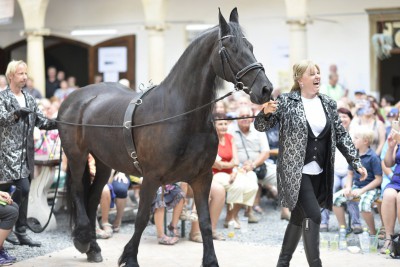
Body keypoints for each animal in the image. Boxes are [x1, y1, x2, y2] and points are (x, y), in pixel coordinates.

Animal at [57, 7, 272, 266]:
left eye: (250, 46)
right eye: (231, 49)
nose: (266, 89)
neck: (181, 116)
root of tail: (76, 97)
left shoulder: (202, 178)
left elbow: (205, 221)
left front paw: (210, 260)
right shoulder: (151, 178)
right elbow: (141, 219)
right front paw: (129, 258)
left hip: (103, 161)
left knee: (93, 196)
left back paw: (93, 248)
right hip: (77, 156)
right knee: (79, 191)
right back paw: (82, 239)